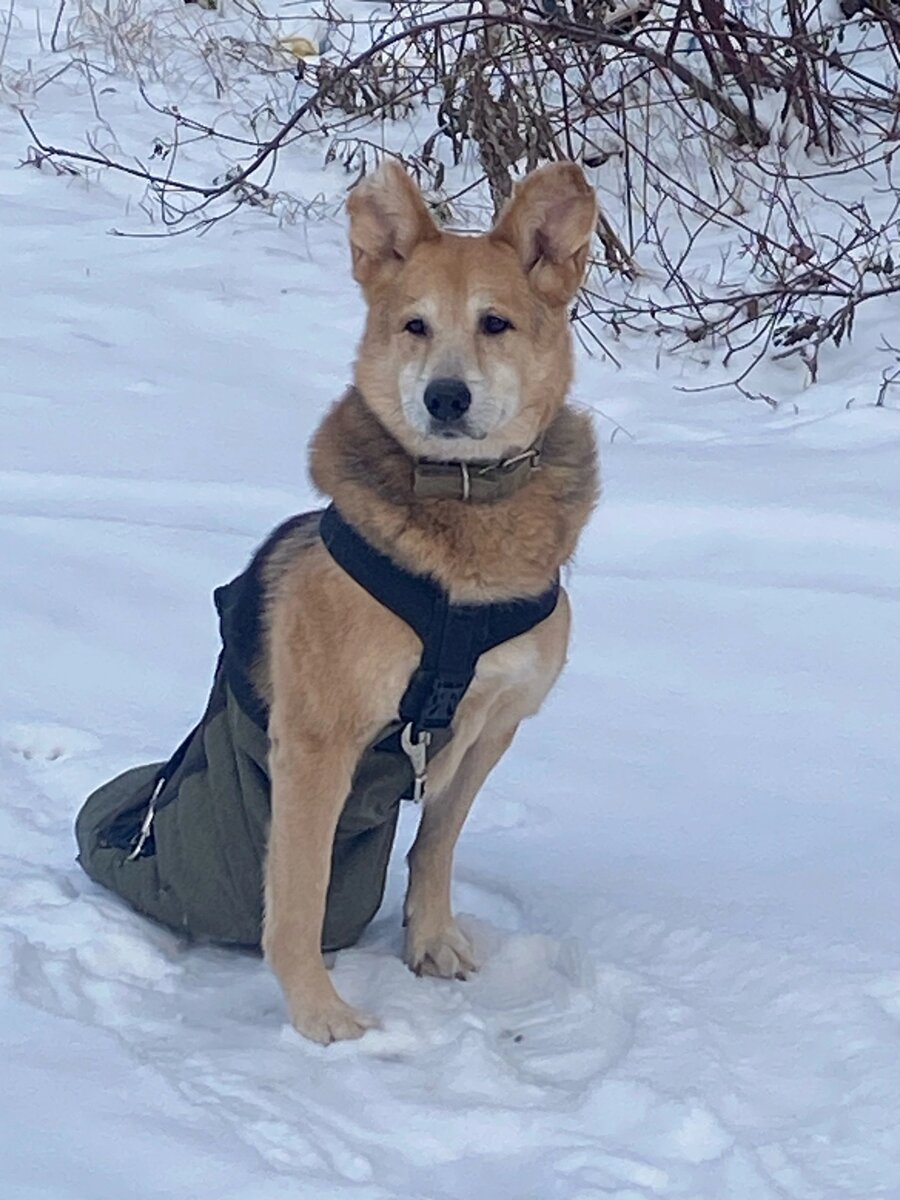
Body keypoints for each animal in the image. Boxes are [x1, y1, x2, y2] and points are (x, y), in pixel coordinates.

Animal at [254, 159, 602, 1041]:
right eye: (414, 325)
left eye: (495, 324)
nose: (445, 398)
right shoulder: (319, 740)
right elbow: (301, 892)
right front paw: (317, 1013)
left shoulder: (496, 722)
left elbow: (436, 843)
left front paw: (431, 939)